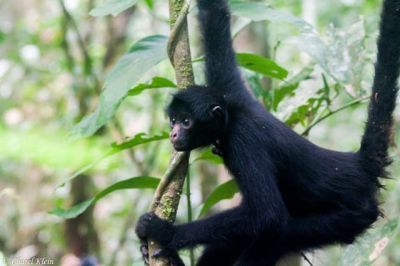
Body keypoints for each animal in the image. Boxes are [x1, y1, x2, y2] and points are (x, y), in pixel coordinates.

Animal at [135, 0, 400, 264]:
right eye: (173, 121)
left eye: (186, 122)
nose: (173, 134)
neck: (234, 116)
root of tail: (357, 165)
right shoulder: (232, 91)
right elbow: (214, 18)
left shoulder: (244, 140)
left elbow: (267, 215)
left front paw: (165, 232)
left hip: (352, 216)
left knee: (279, 233)